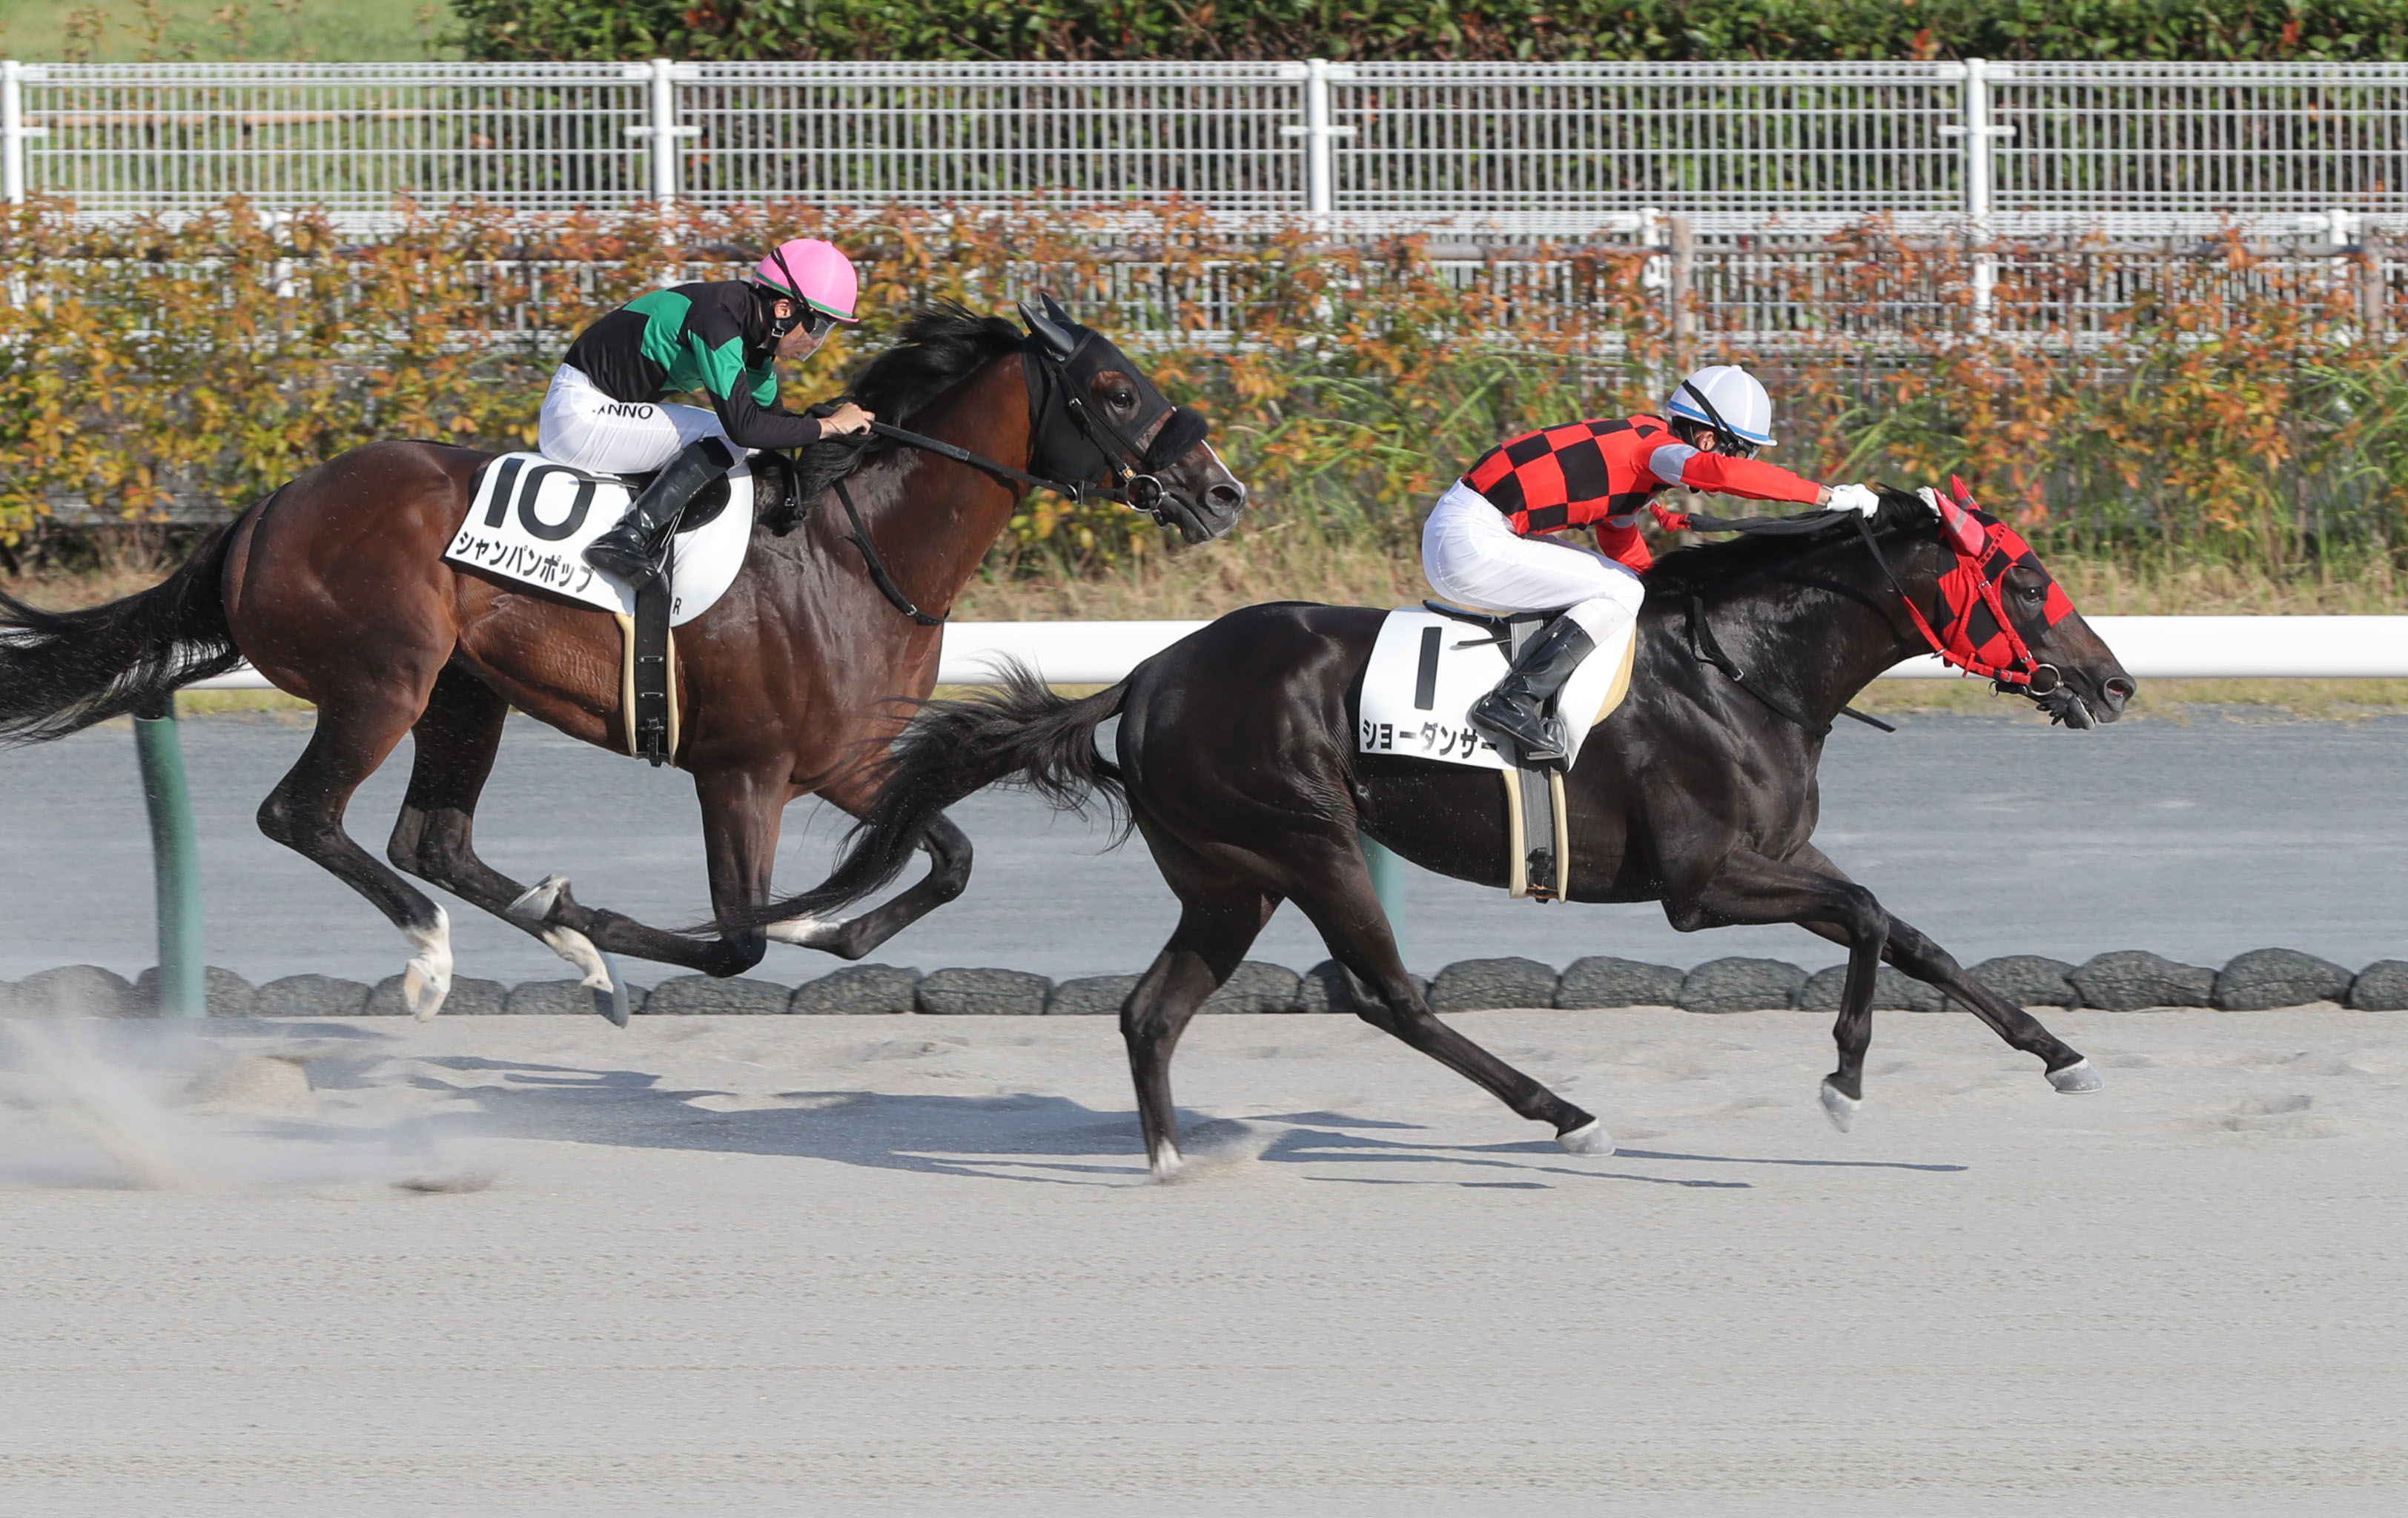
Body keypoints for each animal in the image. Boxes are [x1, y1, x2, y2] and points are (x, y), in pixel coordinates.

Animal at [0, 299, 1245, 1018]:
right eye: (1119, 390)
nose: (1224, 491)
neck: (857, 547)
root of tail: (262, 513)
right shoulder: (741, 770)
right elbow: (735, 940)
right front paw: (639, 923)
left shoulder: (848, 757)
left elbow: (945, 859)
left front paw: (827, 925)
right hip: (383, 680)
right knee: (302, 817)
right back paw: (440, 957)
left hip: (465, 694)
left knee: (432, 841)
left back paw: (559, 945)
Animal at [736, 486, 2136, 1177]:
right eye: (2023, 579)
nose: (2114, 682)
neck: (1746, 669)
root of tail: (1144, 677)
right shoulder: (1704, 881)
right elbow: (1867, 921)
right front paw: (1842, 1080)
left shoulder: (1779, 856)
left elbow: (1914, 936)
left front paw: (2063, 1053)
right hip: (1306, 839)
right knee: (1386, 995)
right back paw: (1563, 1113)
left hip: (1227, 875)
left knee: (1152, 1010)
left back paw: (1172, 1158)